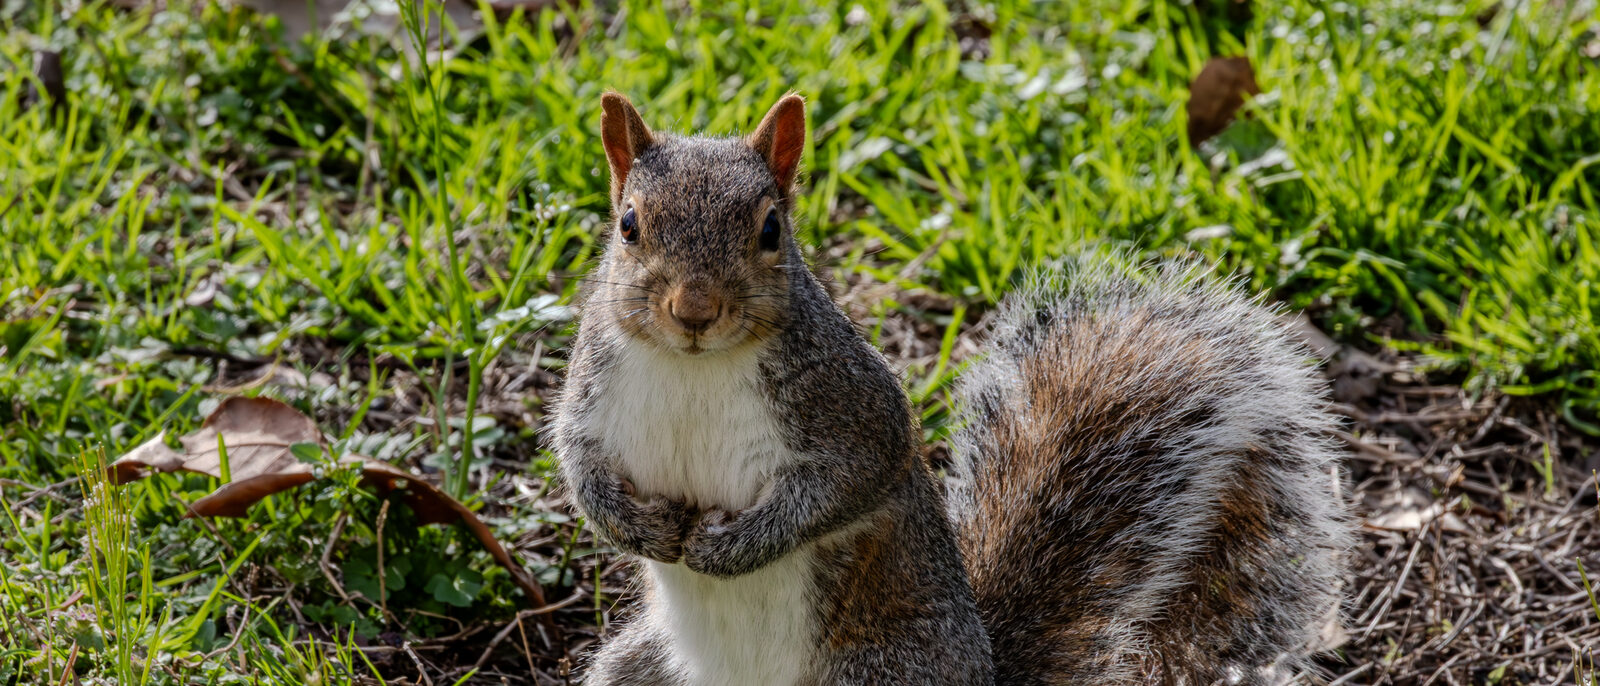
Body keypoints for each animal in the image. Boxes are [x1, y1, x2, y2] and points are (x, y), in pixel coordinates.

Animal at [550, 92, 1351, 686]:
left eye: (771, 230)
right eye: (628, 225)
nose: (694, 310)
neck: (694, 367)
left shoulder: (857, 413)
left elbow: (844, 487)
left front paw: (736, 547)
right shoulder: (592, 389)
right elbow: (577, 459)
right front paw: (630, 525)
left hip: (878, 670)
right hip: (639, 668)